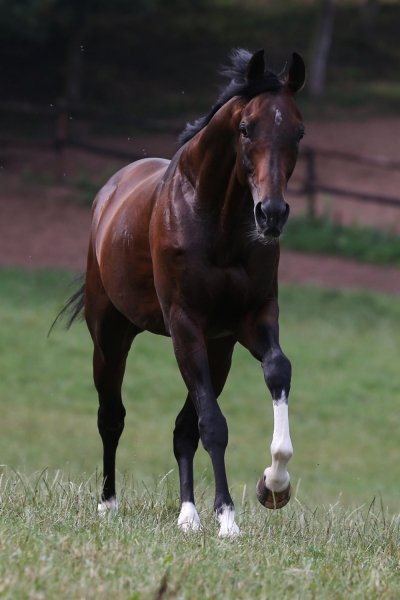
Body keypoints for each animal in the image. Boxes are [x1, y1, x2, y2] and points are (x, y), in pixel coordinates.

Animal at [58, 48, 305, 537]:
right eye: (246, 128)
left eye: (298, 130)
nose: (271, 214)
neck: (216, 220)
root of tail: (110, 191)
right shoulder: (185, 323)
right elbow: (213, 424)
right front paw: (228, 518)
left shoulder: (249, 320)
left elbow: (276, 371)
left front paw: (273, 486)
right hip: (111, 336)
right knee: (111, 417)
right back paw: (109, 503)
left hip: (219, 351)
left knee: (181, 429)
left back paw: (188, 514)